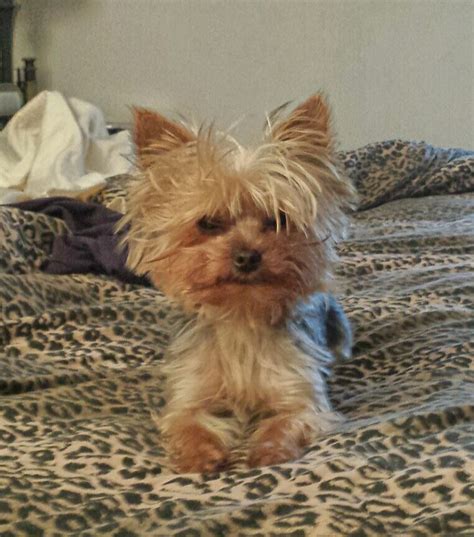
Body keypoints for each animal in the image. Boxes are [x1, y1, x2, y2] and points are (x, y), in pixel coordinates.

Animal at [118, 94, 356, 472]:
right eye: (208, 223)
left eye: (277, 220)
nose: (247, 257)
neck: (241, 314)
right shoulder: (189, 395)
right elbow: (187, 423)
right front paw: (200, 456)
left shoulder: (300, 396)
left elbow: (287, 420)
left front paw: (269, 448)